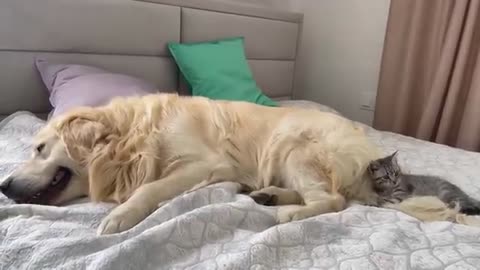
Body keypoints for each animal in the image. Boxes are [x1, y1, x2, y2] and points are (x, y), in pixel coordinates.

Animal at [0, 93, 384, 234]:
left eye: (39, 148)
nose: (3, 185)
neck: (130, 137)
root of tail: (370, 153)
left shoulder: (205, 165)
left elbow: (149, 188)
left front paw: (119, 216)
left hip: (294, 146)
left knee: (333, 199)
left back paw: (288, 213)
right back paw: (268, 195)